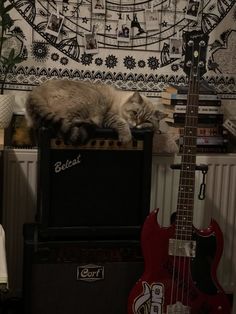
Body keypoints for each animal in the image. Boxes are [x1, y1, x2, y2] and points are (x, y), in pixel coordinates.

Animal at [25, 79, 166, 145]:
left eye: (146, 121)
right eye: (135, 113)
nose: (136, 125)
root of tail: (35, 91)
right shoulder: (109, 116)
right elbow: (122, 124)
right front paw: (127, 138)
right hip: (92, 101)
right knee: (67, 121)